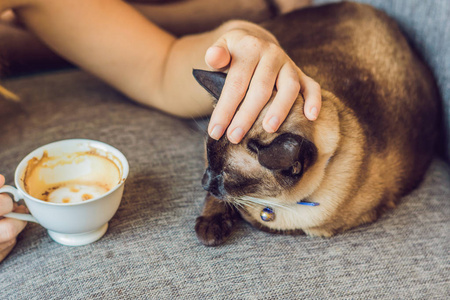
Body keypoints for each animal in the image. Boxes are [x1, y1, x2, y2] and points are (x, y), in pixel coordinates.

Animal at [192, 1, 440, 246]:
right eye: (209, 159)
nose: (204, 182)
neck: (268, 205)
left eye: (227, 176)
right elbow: (219, 202)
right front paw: (211, 227)